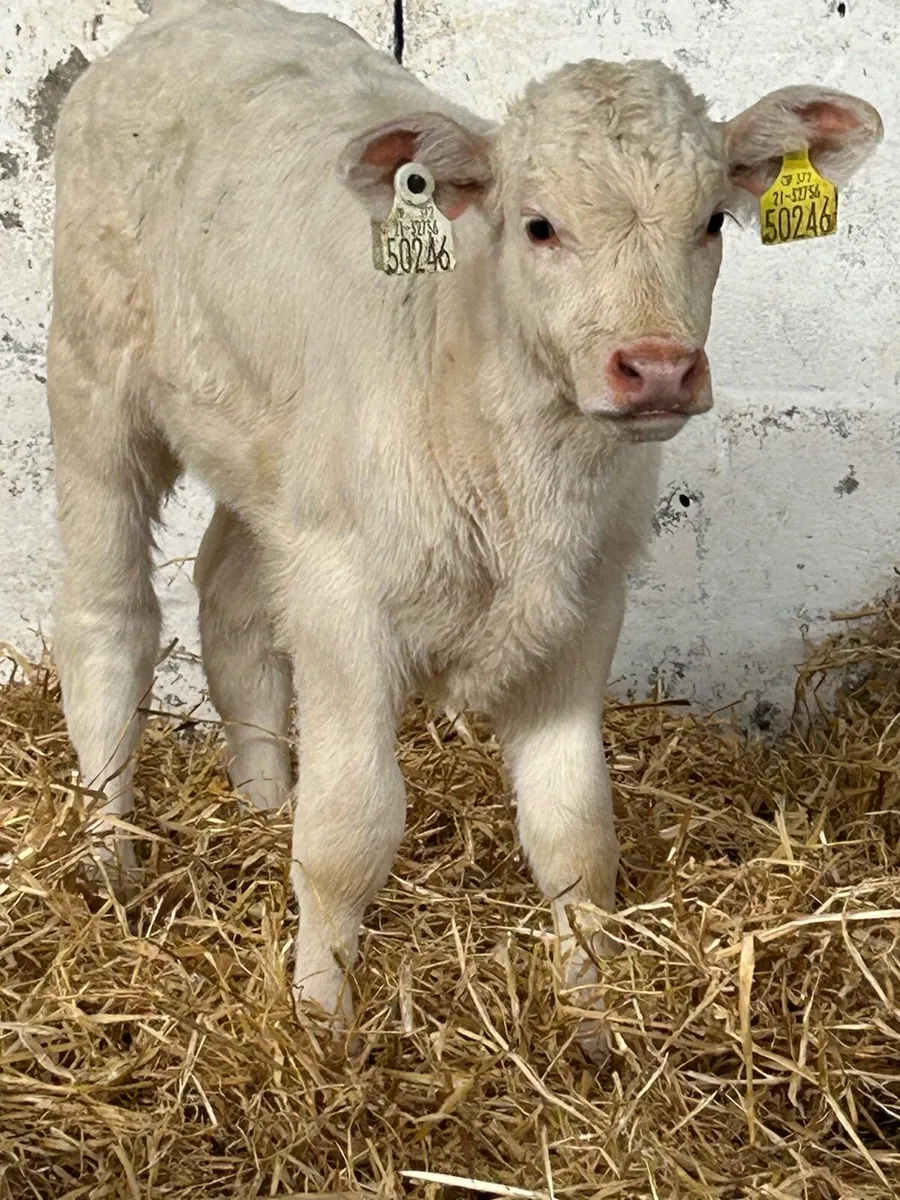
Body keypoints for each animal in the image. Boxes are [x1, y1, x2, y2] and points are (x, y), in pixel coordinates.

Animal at [48, 0, 882, 1047]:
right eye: (539, 226)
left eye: (708, 221)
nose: (655, 368)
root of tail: (189, 24)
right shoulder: (345, 598)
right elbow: (350, 831)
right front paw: (320, 1024)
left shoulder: (583, 608)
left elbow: (577, 834)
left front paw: (593, 1016)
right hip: (94, 382)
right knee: (107, 620)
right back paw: (107, 862)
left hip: (275, 463)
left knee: (231, 602)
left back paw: (261, 805)